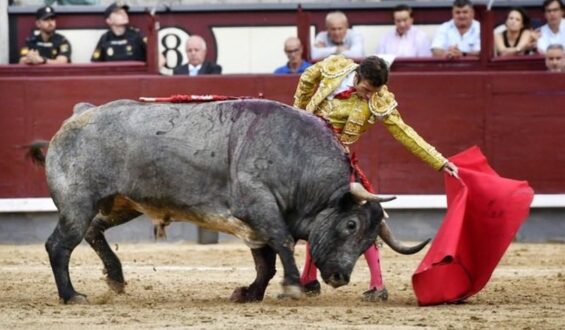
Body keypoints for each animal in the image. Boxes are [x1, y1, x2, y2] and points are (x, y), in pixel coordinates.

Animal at [25, 98, 424, 304]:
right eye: (351, 224)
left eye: (369, 239)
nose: (341, 278)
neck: (298, 159)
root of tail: (79, 113)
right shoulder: (260, 206)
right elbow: (282, 244)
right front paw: (293, 287)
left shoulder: (252, 223)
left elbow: (265, 262)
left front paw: (250, 293)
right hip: (77, 203)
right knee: (59, 245)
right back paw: (71, 295)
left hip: (120, 203)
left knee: (93, 232)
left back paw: (116, 278)